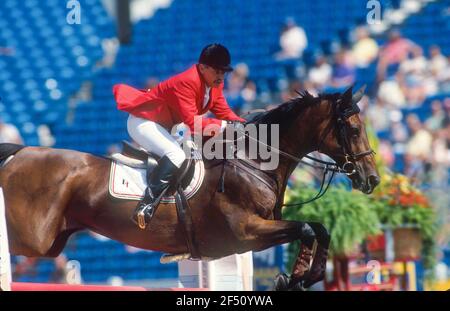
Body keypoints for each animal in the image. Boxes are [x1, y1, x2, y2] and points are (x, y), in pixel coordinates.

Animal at [0, 84, 380, 290]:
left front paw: (298, 277)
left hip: (50, 242)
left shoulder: (257, 230)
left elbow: (318, 229)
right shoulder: (246, 232)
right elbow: (306, 228)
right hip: (33, 239)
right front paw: (294, 277)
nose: (372, 179)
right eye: (353, 128)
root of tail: (20, 153)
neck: (254, 162)